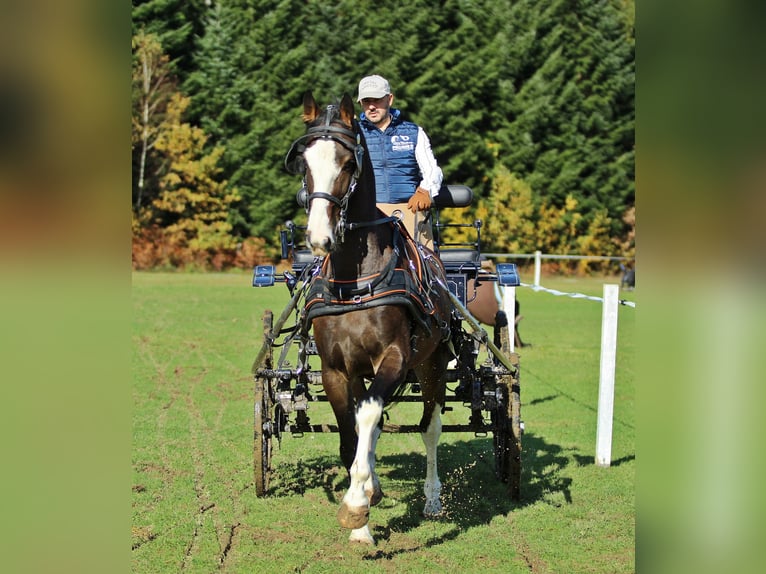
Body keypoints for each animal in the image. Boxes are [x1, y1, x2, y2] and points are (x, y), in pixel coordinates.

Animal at [289, 92, 453, 544]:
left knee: (429, 426)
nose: (319, 237)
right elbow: (351, 431)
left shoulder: (394, 358)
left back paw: (432, 499)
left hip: (432, 363)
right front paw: (363, 515)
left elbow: (367, 415)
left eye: (348, 163)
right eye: (304, 162)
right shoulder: (336, 368)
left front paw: (356, 503)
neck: (354, 281)